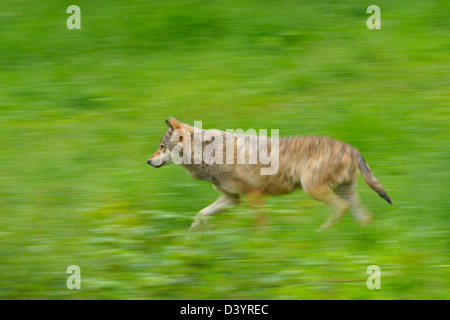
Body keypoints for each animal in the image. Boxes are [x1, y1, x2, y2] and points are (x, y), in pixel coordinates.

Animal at [147, 117, 390, 230]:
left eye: (161, 146)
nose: (148, 161)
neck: (211, 153)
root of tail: (352, 148)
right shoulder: (231, 199)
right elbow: (199, 214)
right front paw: (191, 238)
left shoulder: (255, 195)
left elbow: (261, 226)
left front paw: (260, 246)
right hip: (342, 191)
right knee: (365, 216)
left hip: (314, 189)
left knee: (341, 209)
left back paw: (322, 233)